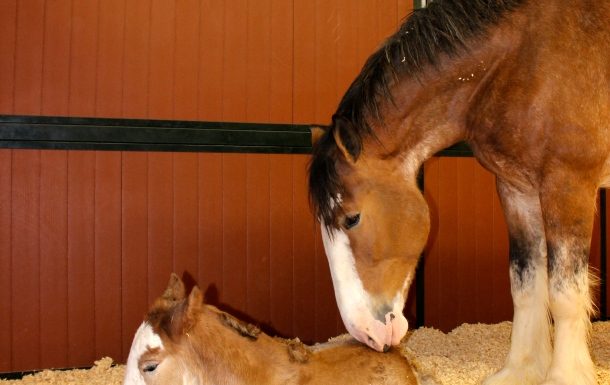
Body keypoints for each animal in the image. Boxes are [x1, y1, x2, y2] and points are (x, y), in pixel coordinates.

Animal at [308, 0, 608, 384]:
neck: (525, 60)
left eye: (352, 218)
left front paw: (564, 376)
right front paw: (519, 370)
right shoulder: (517, 190)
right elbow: (526, 286)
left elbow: (565, 293)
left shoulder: (568, 185)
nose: (364, 332)